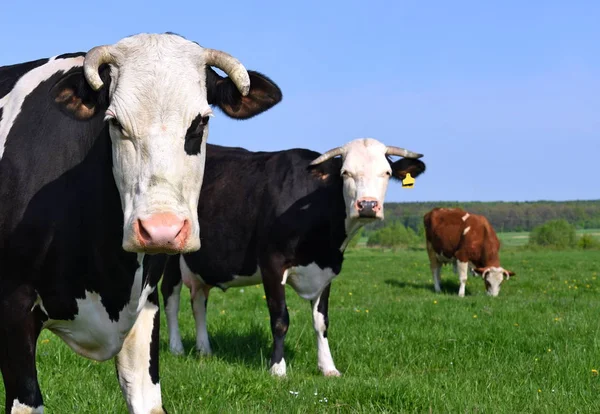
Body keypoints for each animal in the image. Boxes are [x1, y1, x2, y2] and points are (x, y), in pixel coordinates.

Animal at [157, 138, 424, 376]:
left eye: (386, 172)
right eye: (345, 173)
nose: (367, 206)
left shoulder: (326, 271)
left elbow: (322, 322)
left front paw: (328, 367)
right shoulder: (272, 265)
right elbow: (280, 319)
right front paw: (277, 368)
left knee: (199, 300)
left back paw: (204, 349)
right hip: (170, 255)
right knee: (170, 298)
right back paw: (177, 348)